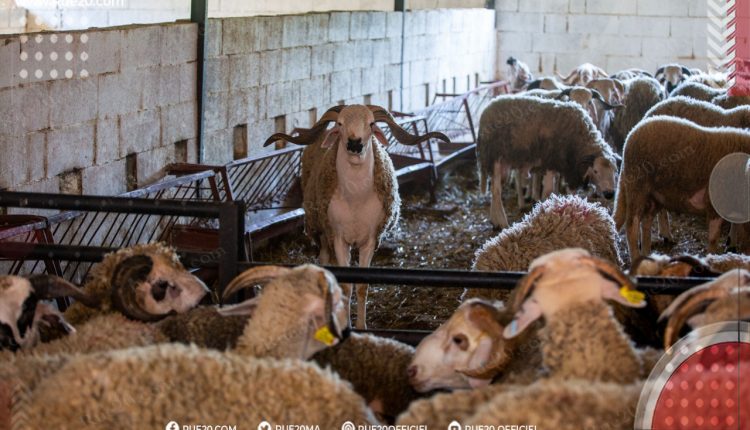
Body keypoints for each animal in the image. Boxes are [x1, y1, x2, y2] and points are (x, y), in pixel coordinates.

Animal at [264, 104, 450, 330]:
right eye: (340, 123)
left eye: (371, 123)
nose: (354, 144)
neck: (355, 198)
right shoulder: (338, 239)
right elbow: (346, 287)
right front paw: (347, 325)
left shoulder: (370, 241)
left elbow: (362, 286)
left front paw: (361, 326)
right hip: (321, 230)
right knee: (324, 260)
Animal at [478, 94, 620, 228]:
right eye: (596, 171)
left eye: (615, 171)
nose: (609, 194)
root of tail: (487, 108)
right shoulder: (550, 162)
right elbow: (548, 191)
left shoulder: (563, 165)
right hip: (495, 158)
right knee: (496, 191)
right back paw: (501, 222)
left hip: (503, 164)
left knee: (495, 190)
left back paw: (494, 220)